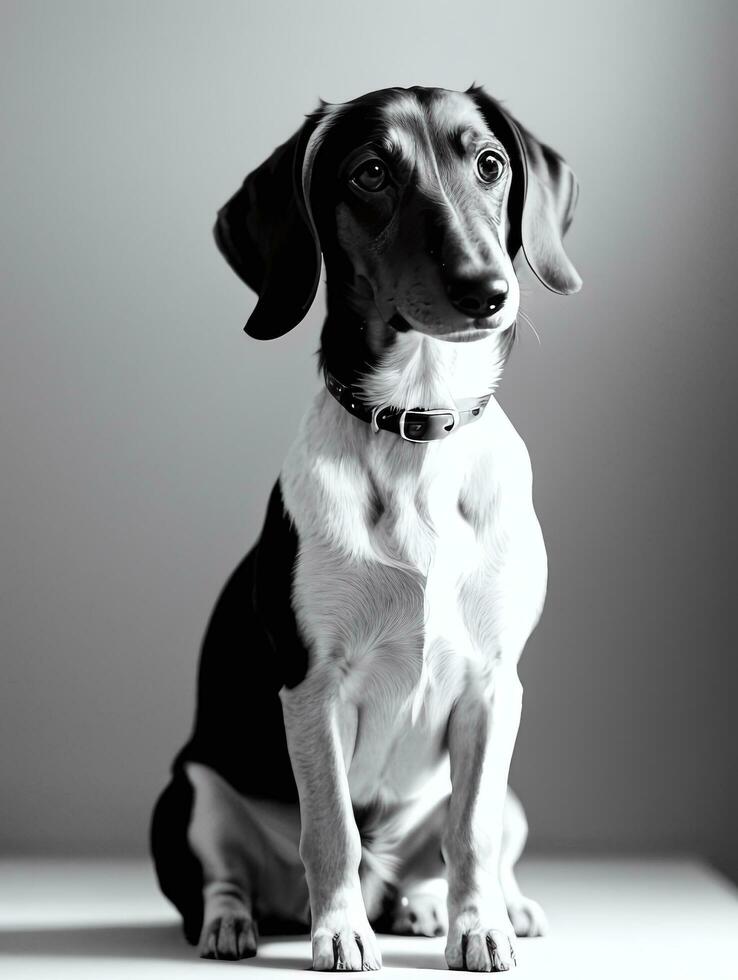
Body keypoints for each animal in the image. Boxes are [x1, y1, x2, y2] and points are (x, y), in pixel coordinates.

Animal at [151, 86, 580, 972]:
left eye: (490, 163)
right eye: (371, 173)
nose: (486, 288)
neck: (417, 427)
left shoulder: (495, 688)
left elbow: (472, 834)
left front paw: (477, 926)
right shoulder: (314, 688)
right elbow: (332, 829)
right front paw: (341, 931)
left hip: (508, 792)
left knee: (460, 848)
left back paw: (454, 905)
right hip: (193, 790)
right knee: (224, 875)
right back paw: (236, 923)